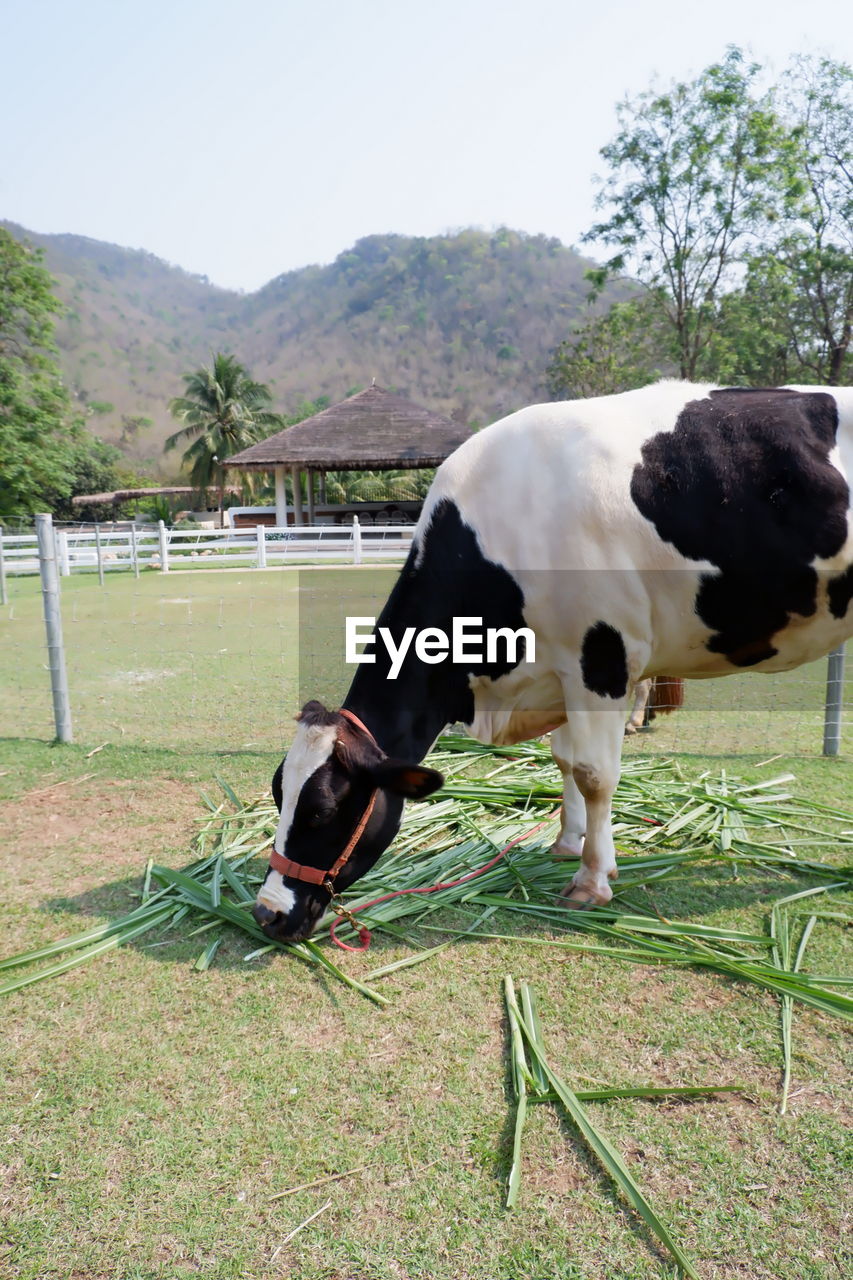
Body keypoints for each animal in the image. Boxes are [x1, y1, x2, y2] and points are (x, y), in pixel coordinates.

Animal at [252, 378, 850, 942]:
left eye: (322, 811)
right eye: (279, 792)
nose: (267, 912)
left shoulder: (601, 655)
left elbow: (594, 773)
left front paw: (592, 879)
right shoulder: (559, 671)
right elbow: (564, 760)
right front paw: (567, 841)